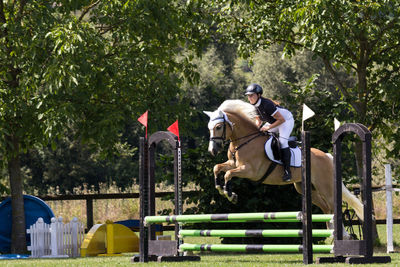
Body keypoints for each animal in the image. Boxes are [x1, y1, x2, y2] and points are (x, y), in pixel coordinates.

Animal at [205, 99, 364, 233]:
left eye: (218, 127)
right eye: (209, 127)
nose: (212, 151)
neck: (244, 141)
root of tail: (327, 156)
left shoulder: (250, 171)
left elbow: (228, 174)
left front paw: (230, 194)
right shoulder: (233, 164)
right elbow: (217, 168)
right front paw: (220, 187)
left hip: (325, 187)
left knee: (332, 207)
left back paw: (341, 236)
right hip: (305, 188)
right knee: (326, 209)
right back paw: (331, 234)